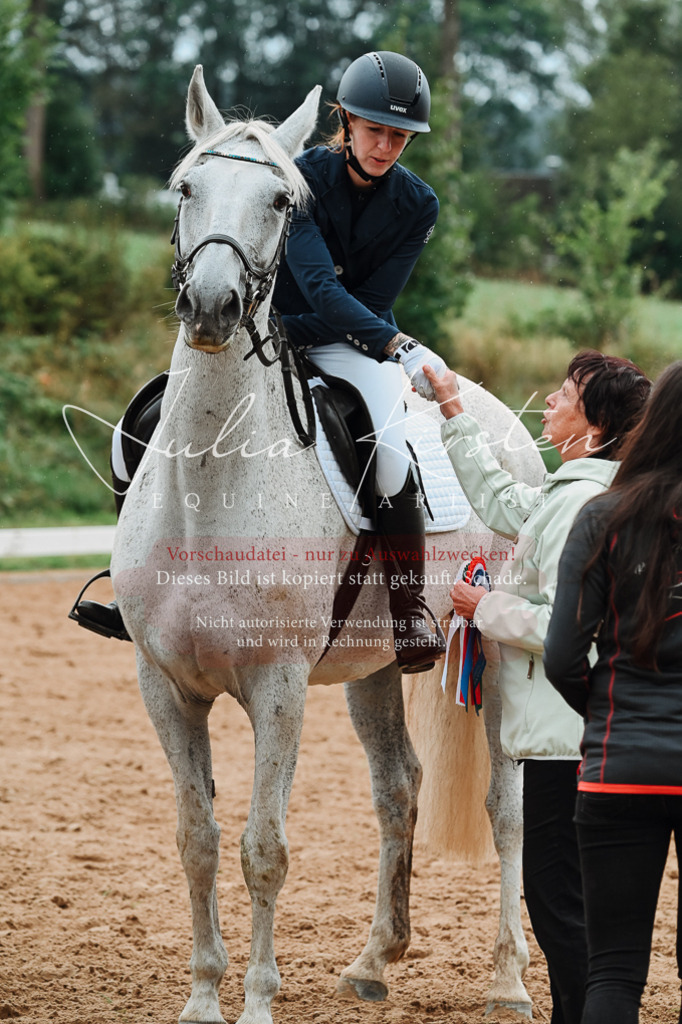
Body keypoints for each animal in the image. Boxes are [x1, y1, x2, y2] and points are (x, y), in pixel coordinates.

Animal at [110, 64, 545, 1024]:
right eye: (185, 187)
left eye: (281, 200)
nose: (211, 307)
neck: (210, 488)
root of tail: (506, 427)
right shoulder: (164, 685)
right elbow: (196, 838)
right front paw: (203, 997)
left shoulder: (277, 688)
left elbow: (263, 848)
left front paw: (257, 1003)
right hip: (376, 668)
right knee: (398, 789)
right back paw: (377, 957)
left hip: (499, 651)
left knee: (507, 805)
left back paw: (507, 979)